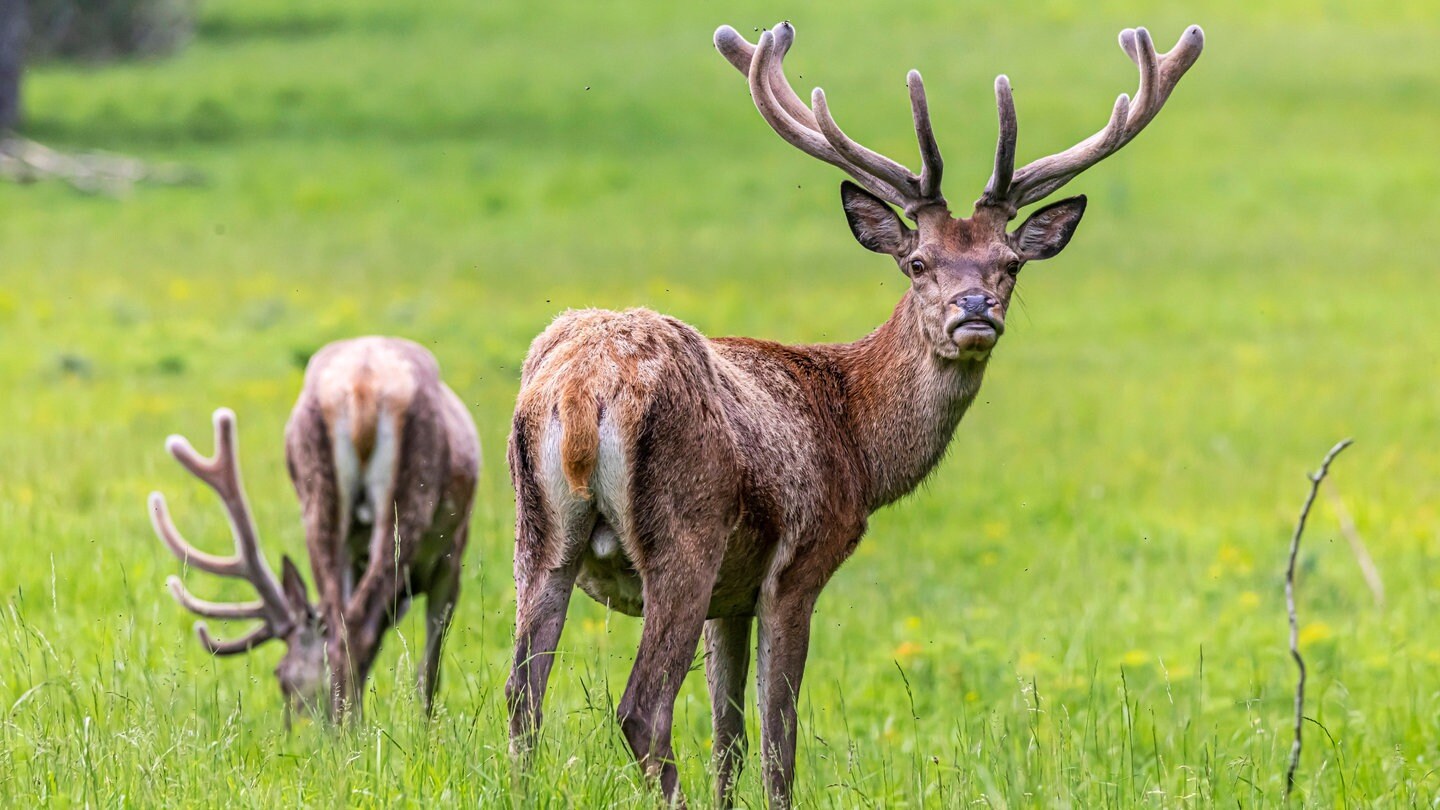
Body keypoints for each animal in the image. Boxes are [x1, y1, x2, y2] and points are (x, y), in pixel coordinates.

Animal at [151, 334, 480, 717]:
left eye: (280, 675)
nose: (297, 725)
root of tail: (363, 385)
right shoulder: (451, 555)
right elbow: (429, 670)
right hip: (410, 498)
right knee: (359, 627)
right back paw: (352, 728)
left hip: (317, 492)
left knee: (341, 625)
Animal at [506, 22, 1203, 801]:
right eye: (919, 262)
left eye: (1010, 263)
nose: (974, 310)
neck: (859, 446)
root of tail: (583, 389)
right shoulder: (798, 564)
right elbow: (777, 740)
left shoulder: (732, 597)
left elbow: (729, 736)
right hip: (685, 532)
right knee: (640, 709)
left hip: (537, 532)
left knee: (523, 697)